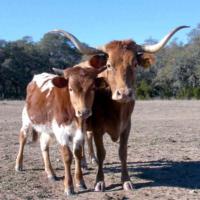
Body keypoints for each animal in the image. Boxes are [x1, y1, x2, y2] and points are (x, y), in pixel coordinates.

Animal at [15, 54, 108, 195]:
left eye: (92, 88)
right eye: (70, 88)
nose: (84, 112)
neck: (74, 115)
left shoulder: (80, 132)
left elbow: (77, 154)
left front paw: (80, 182)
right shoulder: (61, 132)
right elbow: (67, 156)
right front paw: (69, 186)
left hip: (47, 128)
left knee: (44, 145)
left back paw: (50, 173)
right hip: (27, 119)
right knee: (23, 138)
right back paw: (19, 164)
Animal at [50, 25, 189, 191]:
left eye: (134, 64)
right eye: (109, 65)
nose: (124, 93)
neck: (117, 109)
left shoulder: (127, 126)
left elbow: (123, 152)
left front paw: (126, 180)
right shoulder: (98, 128)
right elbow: (102, 153)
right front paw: (99, 181)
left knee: (86, 138)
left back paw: (90, 160)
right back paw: (84, 163)